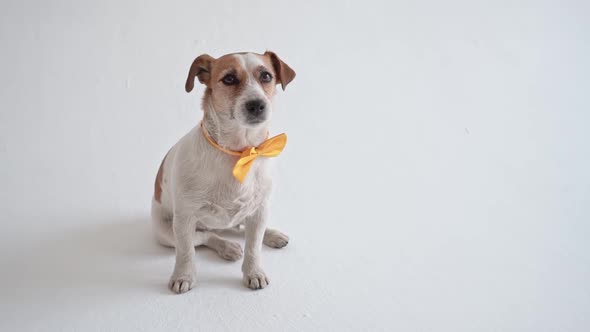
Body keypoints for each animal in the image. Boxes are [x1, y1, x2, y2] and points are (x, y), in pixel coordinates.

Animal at [151, 50, 296, 294]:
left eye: (266, 76)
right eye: (229, 78)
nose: (257, 105)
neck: (240, 152)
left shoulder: (260, 210)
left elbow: (254, 247)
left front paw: (254, 272)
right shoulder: (185, 218)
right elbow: (186, 252)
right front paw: (184, 275)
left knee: (241, 228)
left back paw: (271, 235)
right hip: (166, 231)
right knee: (205, 236)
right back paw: (227, 246)